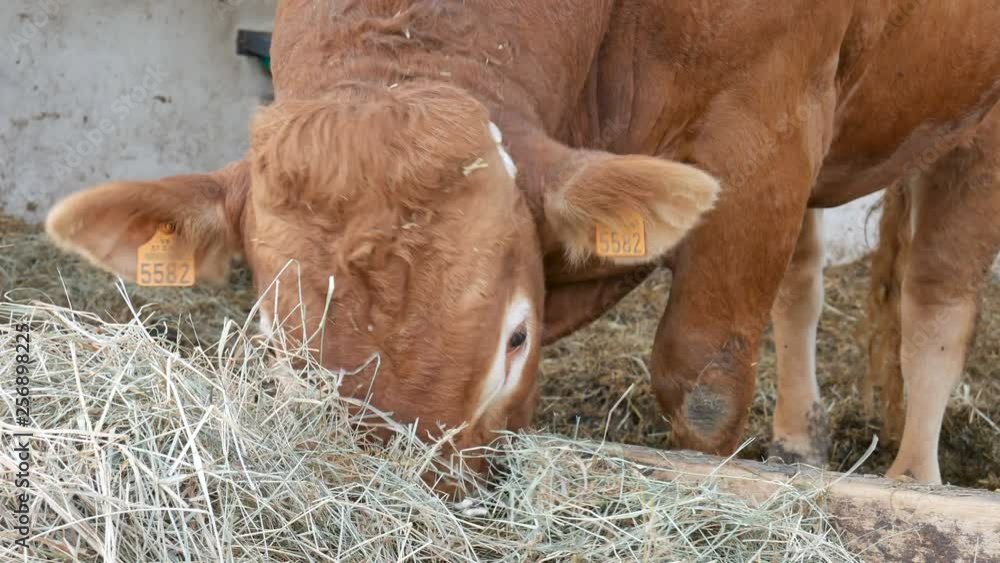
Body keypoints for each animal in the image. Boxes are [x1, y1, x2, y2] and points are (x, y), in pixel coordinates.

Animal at [46, 1, 1000, 484]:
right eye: (279, 352)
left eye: (516, 339)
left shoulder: (765, 122)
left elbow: (700, 383)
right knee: (805, 277)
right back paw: (802, 441)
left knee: (937, 294)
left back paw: (915, 482)